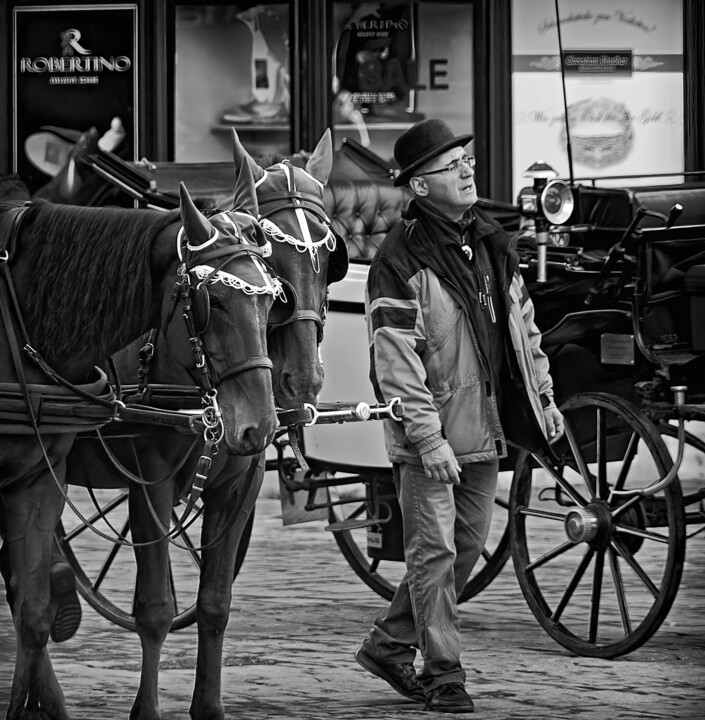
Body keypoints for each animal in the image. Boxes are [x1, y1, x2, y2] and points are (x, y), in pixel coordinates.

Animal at [57, 128, 346, 720]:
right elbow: (155, 608)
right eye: (278, 263)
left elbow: (214, 603)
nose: (304, 379)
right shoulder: (149, 482)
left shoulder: (240, 481)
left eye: (330, 256)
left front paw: (207, 707)